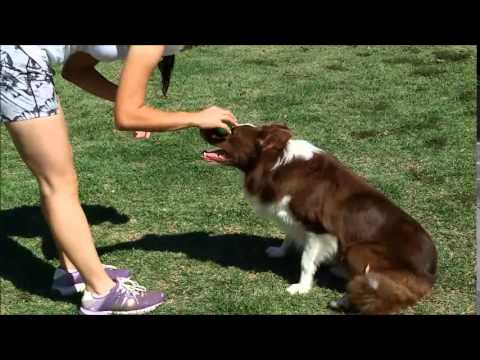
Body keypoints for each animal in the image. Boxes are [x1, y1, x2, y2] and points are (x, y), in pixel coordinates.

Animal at [201, 124, 436, 316]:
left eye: (231, 132)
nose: (204, 129)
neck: (275, 164)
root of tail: (431, 274)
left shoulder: (318, 229)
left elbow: (306, 261)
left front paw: (302, 287)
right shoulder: (293, 217)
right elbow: (288, 236)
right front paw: (280, 251)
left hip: (358, 249)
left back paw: (342, 300)